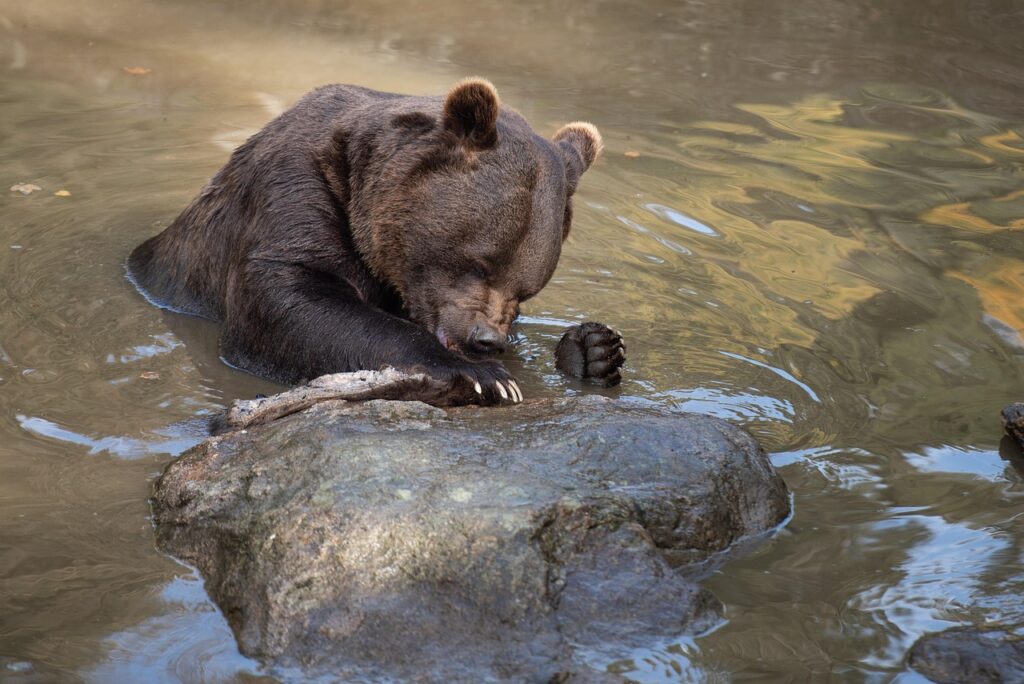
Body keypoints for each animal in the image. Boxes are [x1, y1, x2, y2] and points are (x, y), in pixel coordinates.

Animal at [127, 78, 625, 405]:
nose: (485, 341)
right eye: (479, 263)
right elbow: (287, 301)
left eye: (525, 290)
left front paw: (595, 349)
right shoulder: (295, 194)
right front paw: (483, 374)